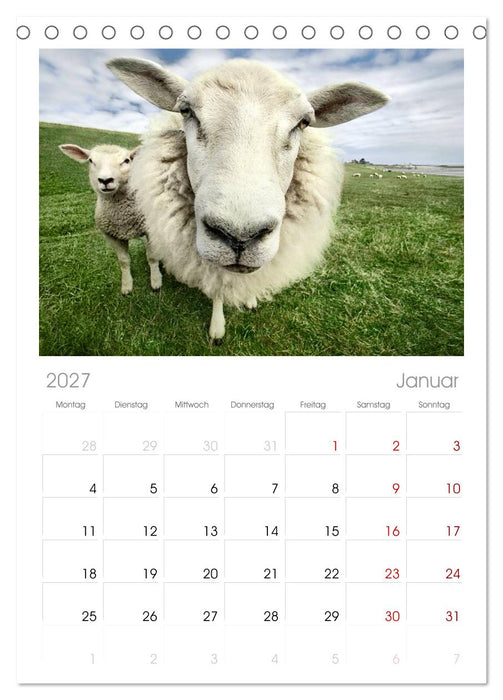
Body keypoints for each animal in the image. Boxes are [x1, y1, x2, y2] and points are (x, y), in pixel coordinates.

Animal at [59, 143, 162, 295]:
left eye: (126, 160)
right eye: (91, 160)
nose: (105, 180)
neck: (123, 217)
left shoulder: (150, 230)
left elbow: (152, 257)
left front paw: (156, 281)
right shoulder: (111, 235)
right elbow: (123, 261)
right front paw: (127, 285)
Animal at [107, 57, 388, 340]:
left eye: (304, 122)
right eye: (186, 111)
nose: (240, 238)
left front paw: (251, 300)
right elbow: (218, 286)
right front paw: (217, 328)